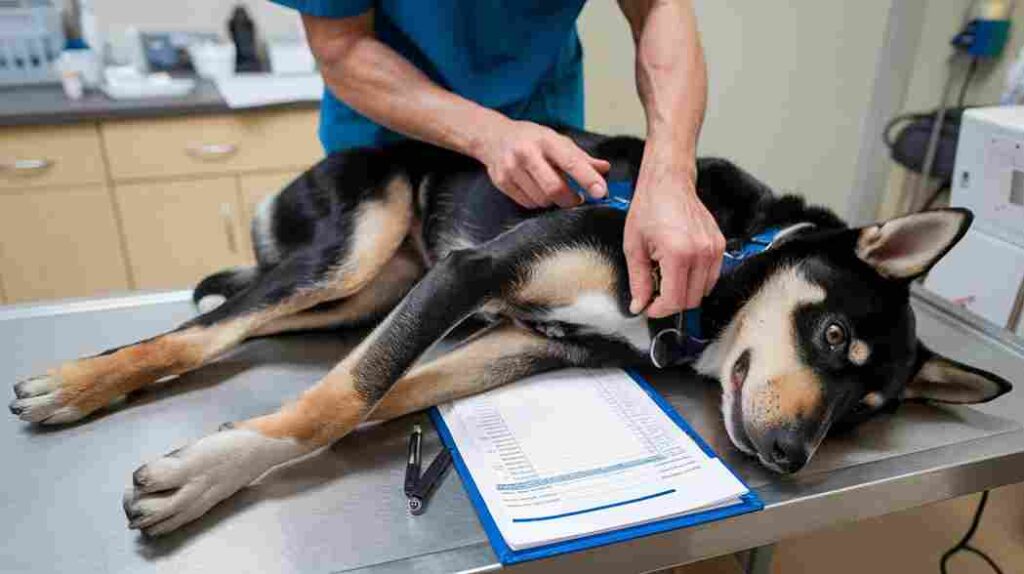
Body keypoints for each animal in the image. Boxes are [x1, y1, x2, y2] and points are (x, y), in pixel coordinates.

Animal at [6, 127, 1015, 536]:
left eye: (862, 411)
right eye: (835, 335)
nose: (793, 457)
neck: (723, 262)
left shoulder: (510, 337)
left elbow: (375, 396)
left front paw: (225, 449)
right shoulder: (474, 275)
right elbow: (342, 397)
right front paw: (205, 475)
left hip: (376, 291)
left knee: (249, 326)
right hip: (355, 250)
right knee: (213, 328)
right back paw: (75, 383)